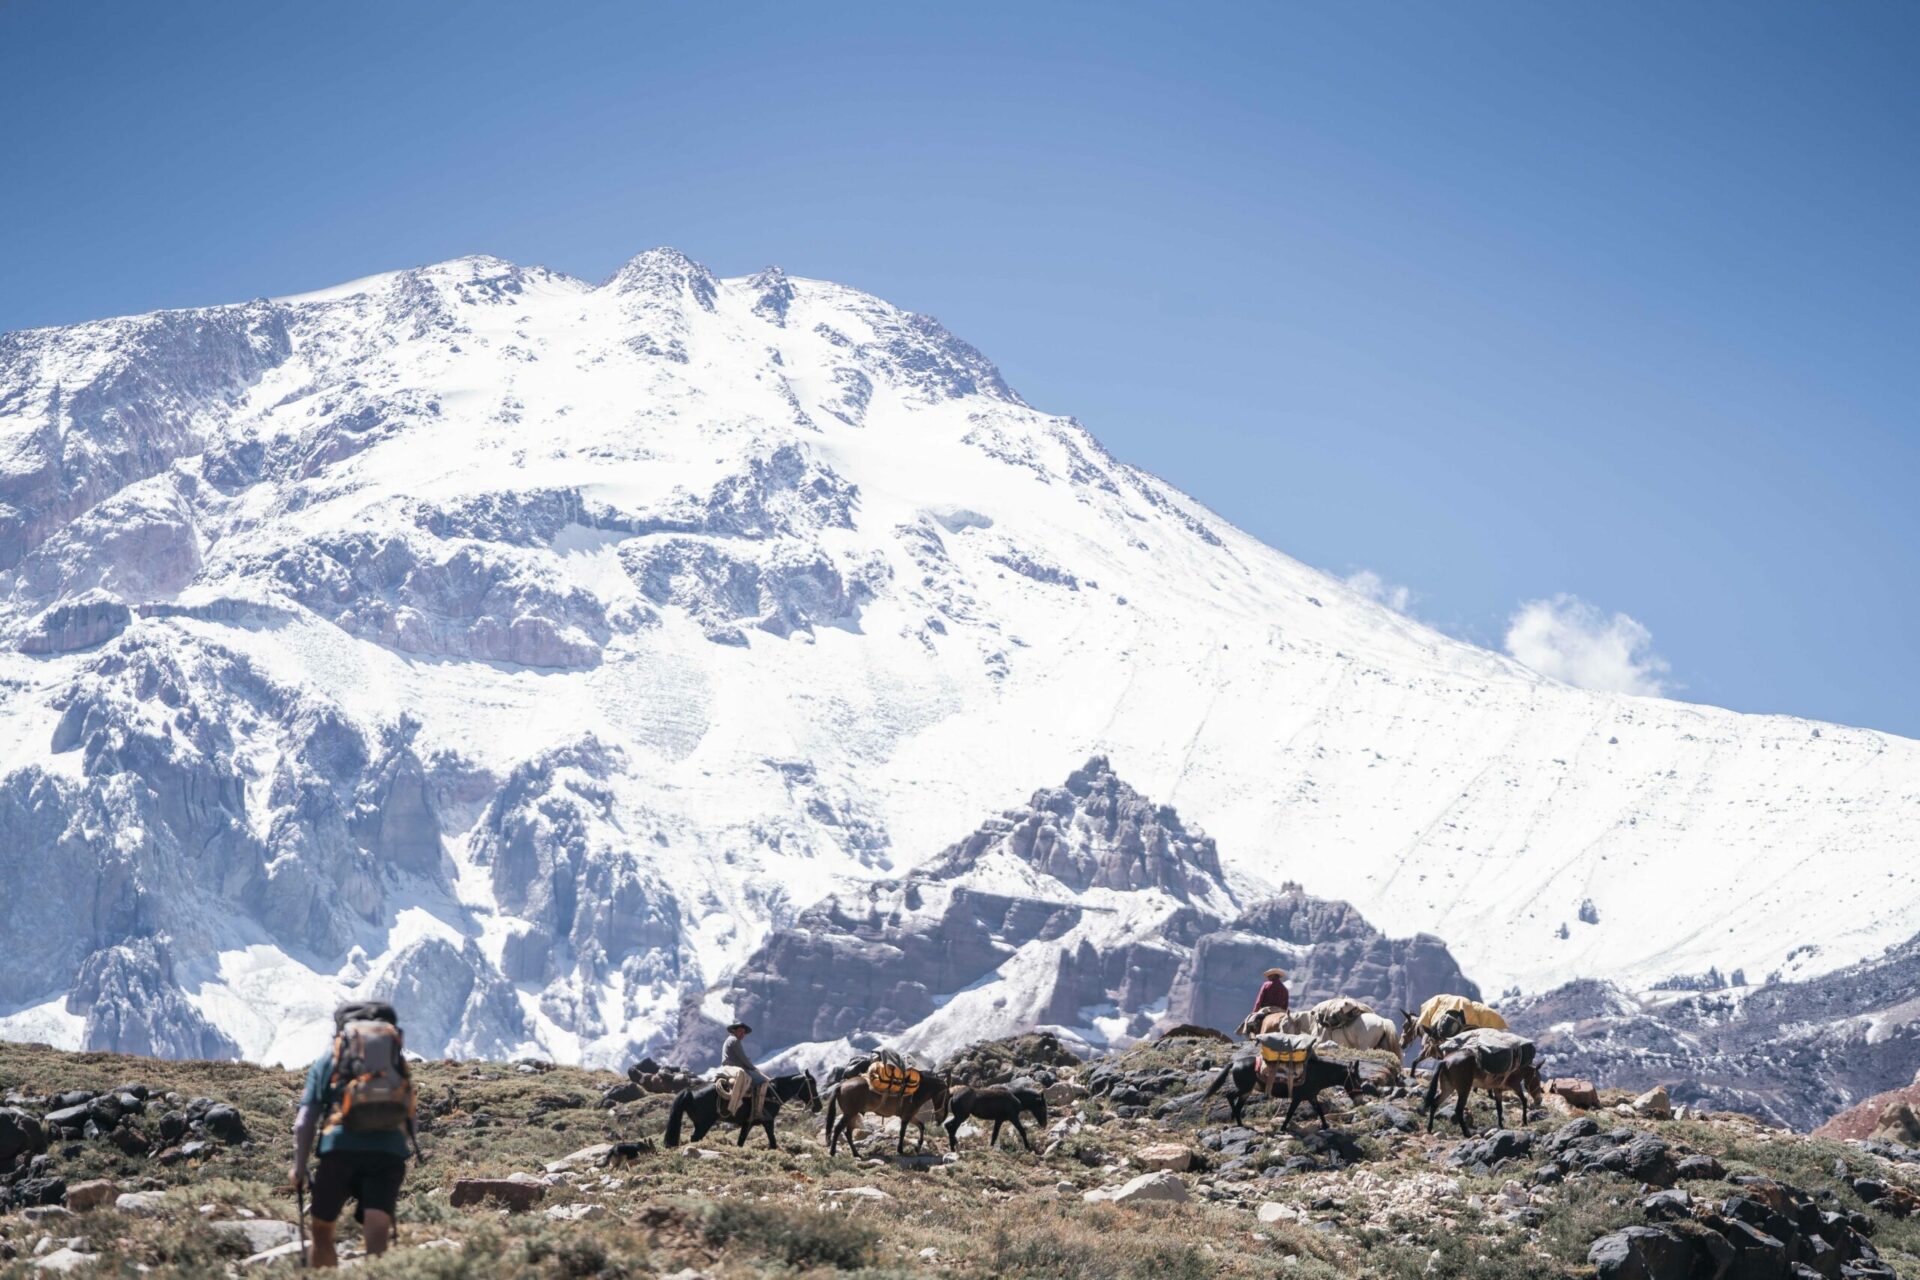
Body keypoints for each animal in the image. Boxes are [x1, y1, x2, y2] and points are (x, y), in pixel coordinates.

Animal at [664, 1074, 821, 1151]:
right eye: (812, 1084)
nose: (818, 1107)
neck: (773, 1093)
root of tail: (689, 1091)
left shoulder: (748, 1123)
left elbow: (741, 1141)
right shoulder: (768, 1121)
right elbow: (773, 1140)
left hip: (699, 1124)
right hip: (704, 1124)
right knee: (695, 1138)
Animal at [1198, 1051, 1367, 1128]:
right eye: (1356, 1080)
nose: (1360, 1100)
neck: (1316, 1073)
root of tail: (1235, 1063)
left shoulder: (1311, 1096)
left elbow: (1319, 1110)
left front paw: (1325, 1126)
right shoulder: (1298, 1097)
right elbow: (1290, 1113)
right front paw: (1283, 1128)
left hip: (1247, 1091)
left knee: (1237, 1103)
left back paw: (1240, 1123)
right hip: (1244, 1088)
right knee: (1229, 1095)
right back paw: (1235, 1118)